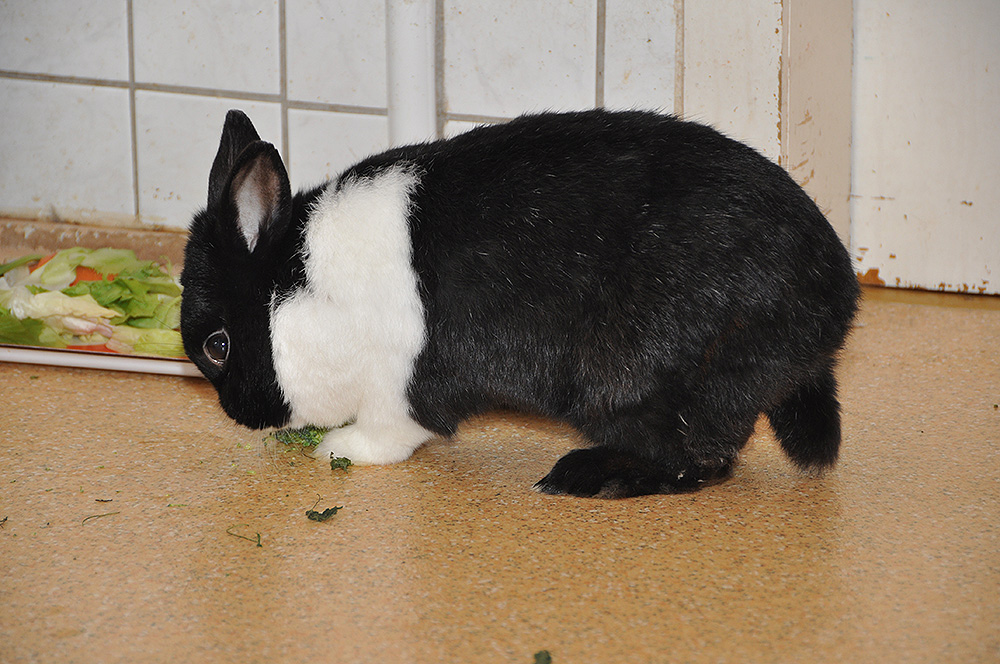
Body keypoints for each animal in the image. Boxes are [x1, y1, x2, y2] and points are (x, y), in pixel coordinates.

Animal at [180, 106, 860, 496]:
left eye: (217, 346)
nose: (241, 415)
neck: (304, 289)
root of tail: (831, 307)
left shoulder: (400, 385)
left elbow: (392, 431)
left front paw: (338, 449)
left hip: (633, 384)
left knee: (695, 462)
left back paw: (584, 478)